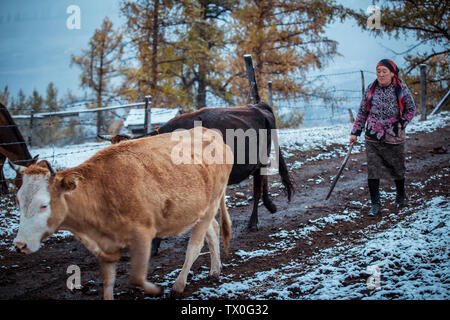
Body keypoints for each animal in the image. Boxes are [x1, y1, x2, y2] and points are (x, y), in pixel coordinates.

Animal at [13, 126, 232, 298]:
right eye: (18, 201)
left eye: (44, 205)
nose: (20, 245)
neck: (101, 192)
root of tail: (211, 133)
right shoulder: (104, 247)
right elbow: (108, 281)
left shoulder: (143, 235)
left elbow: (136, 278)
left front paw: (156, 290)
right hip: (200, 210)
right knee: (212, 230)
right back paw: (215, 270)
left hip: (211, 204)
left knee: (194, 245)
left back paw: (179, 285)